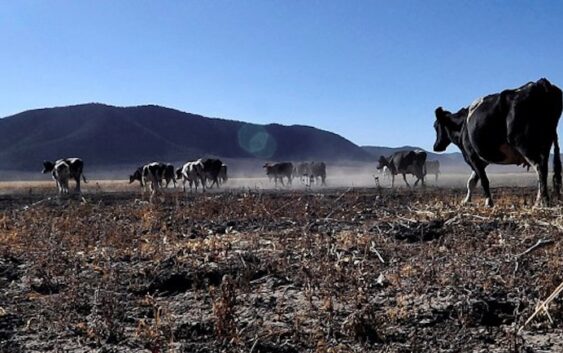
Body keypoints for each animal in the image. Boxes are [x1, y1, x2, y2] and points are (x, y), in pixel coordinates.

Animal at [434, 76, 560, 206]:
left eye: (435, 126)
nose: (436, 146)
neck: (462, 125)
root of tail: (540, 83)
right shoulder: (482, 160)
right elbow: (471, 182)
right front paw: (466, 201)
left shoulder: (472, 156)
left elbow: (483, 181)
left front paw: (488, 202)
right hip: (545, 145)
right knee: (543, 170)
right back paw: (543, 200)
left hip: (524, 144)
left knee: (539, 168)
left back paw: (541, 201)